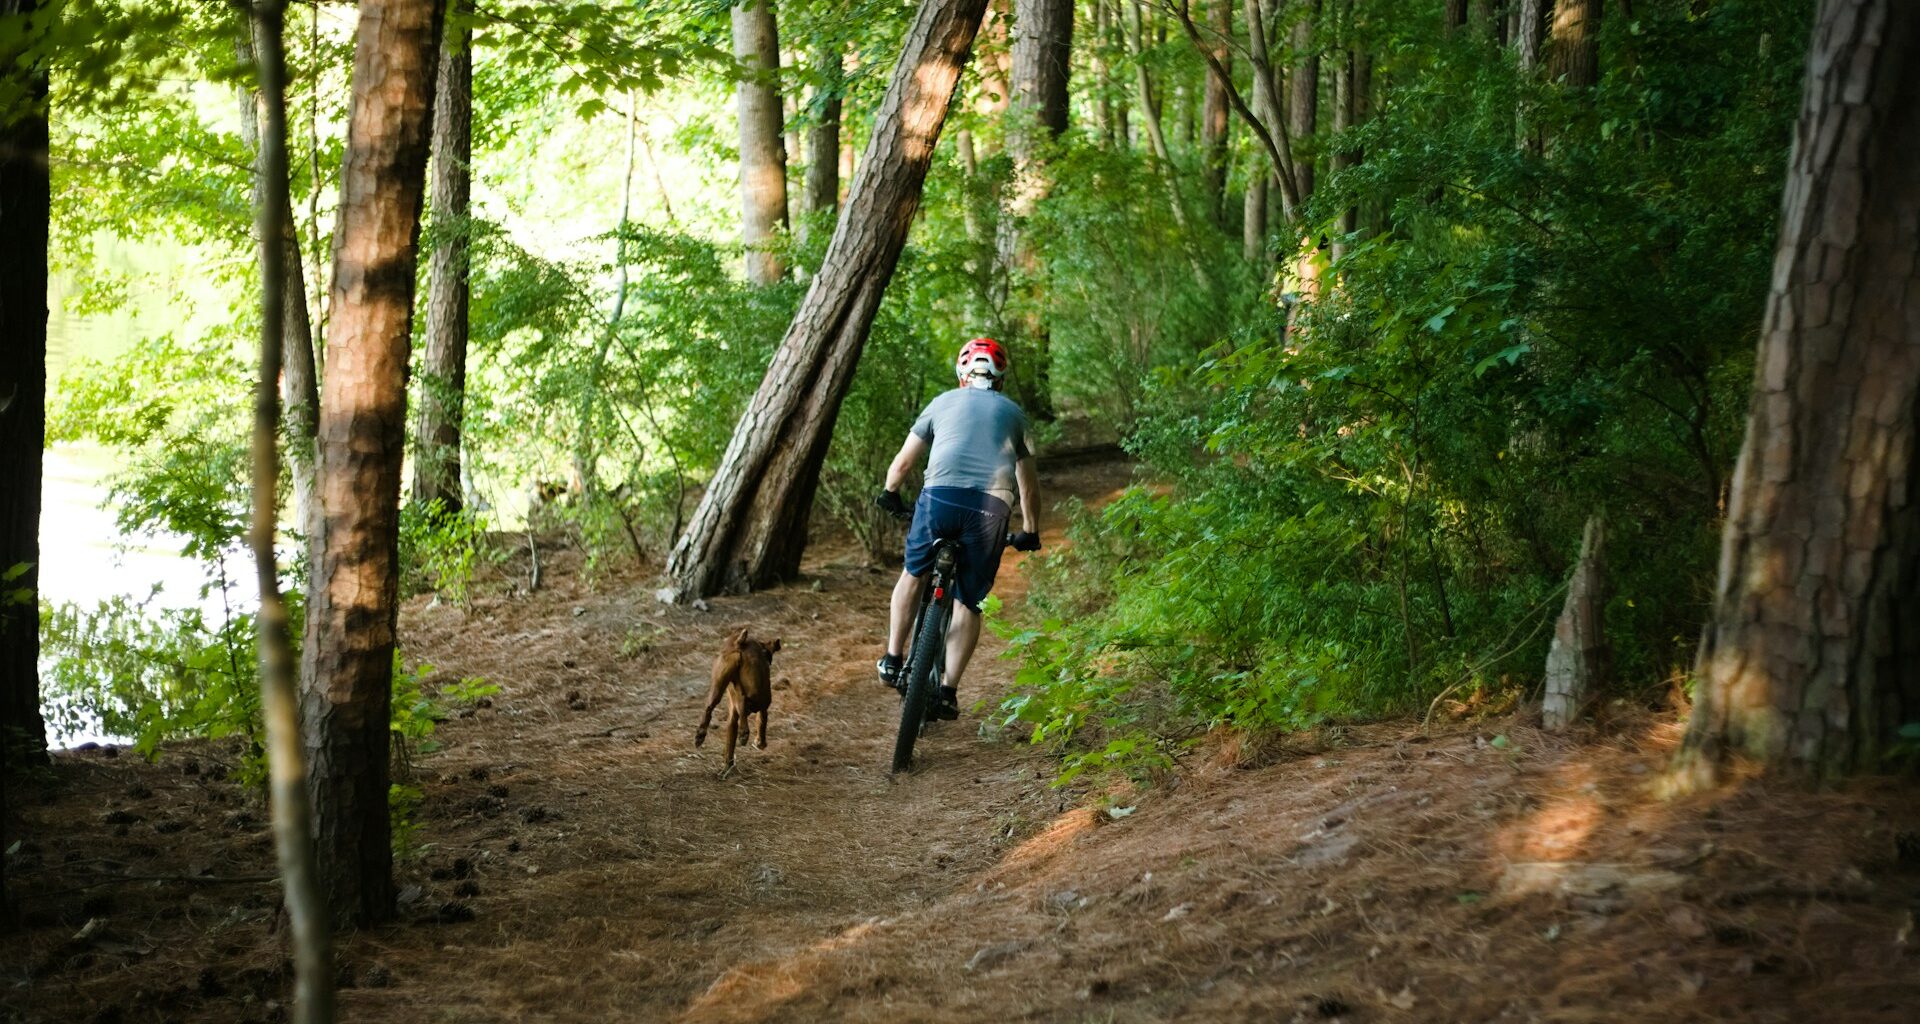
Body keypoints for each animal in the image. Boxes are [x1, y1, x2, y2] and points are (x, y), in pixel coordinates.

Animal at [698, 622, 779, 776]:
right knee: (743, 702)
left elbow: (729, 744)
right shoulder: (763, 706)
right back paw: (744, 734)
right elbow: (762, 722)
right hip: (759, 694)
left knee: (709, 707)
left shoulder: (732, 718)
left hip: (717, 686)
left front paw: (727, 767)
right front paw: (760, 742)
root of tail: (739, 642)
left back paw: (700, 735)